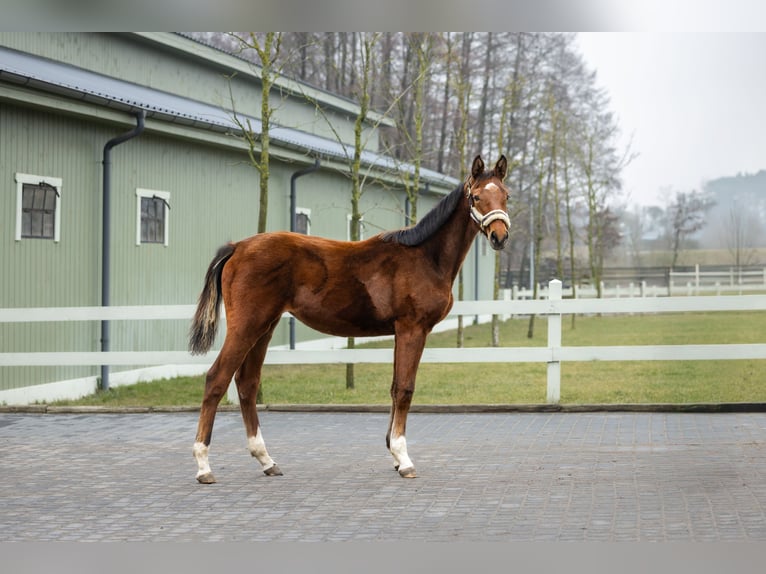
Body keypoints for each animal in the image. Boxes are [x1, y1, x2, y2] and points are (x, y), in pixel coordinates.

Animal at [188, 154, 511, 483]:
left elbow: (395, 387)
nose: (499, 237)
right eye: (476, 196)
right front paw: (404, 459)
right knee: (217, 378)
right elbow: (405, 389)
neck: (424, 256)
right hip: (247, 326)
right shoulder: (413, 328)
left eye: (506, 196)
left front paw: (394, 455)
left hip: (265, 327)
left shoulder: (400, 332)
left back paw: (266, 460)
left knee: (247, 383)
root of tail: (237, 247)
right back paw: (204, 465)